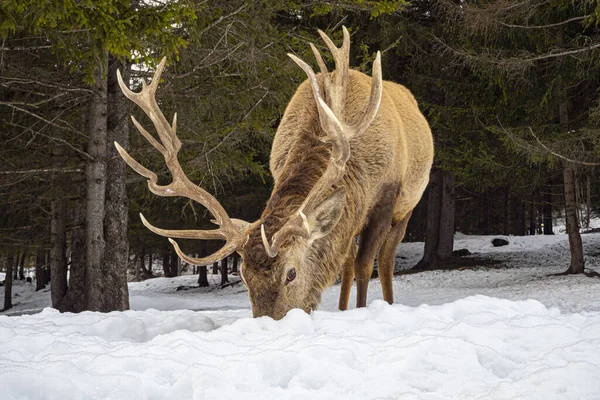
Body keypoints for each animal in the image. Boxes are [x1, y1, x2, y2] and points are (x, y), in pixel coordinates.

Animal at [115, 26, 434, 320]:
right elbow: (347, 261)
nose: (268, 324)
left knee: (385, 258)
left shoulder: (385, 198)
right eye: (244, 275)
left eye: (291, 273)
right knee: (347, 259)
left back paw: (388, 303)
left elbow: (366, 265)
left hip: (409, 204)